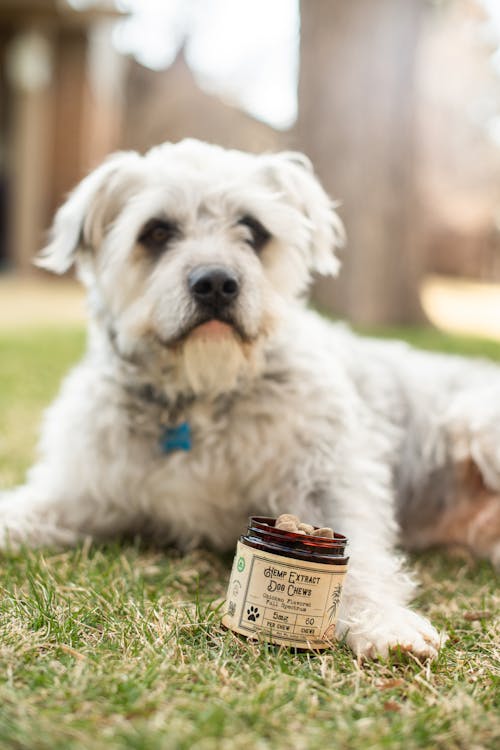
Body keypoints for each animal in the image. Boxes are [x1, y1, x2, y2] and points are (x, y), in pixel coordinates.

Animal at [0, 140, 500, 656]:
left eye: (254, 229)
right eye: (156, 231)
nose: (216, 283)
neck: (203, 394)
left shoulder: (329, 480)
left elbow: (361, 557)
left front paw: (382, 619)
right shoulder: (80, 493)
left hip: (475, 422)